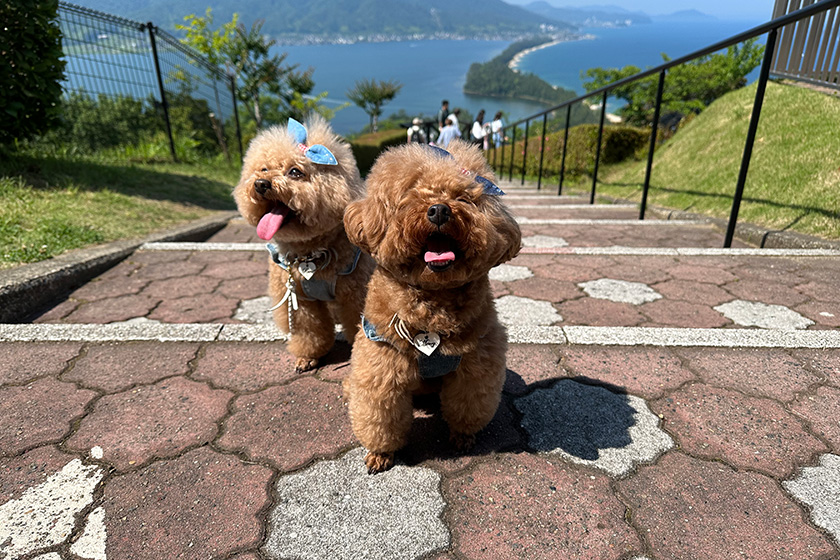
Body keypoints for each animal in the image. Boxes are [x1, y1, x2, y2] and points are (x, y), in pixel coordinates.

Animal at [231, 118, 372, 372]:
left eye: (295, 172)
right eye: (263, 169)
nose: (260, 184)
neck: (309, 253)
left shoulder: (355, 294)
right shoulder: (298, 297)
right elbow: (309, 329)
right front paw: (308, 356)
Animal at [342, 140, 520, 472]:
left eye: (462, 197)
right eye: (411, 194)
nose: (439, 209)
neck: (433, 299)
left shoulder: (477, 363)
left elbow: (468, 404)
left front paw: (463, 436)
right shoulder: (381, 364)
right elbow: (379, 414)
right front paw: (381, 453)